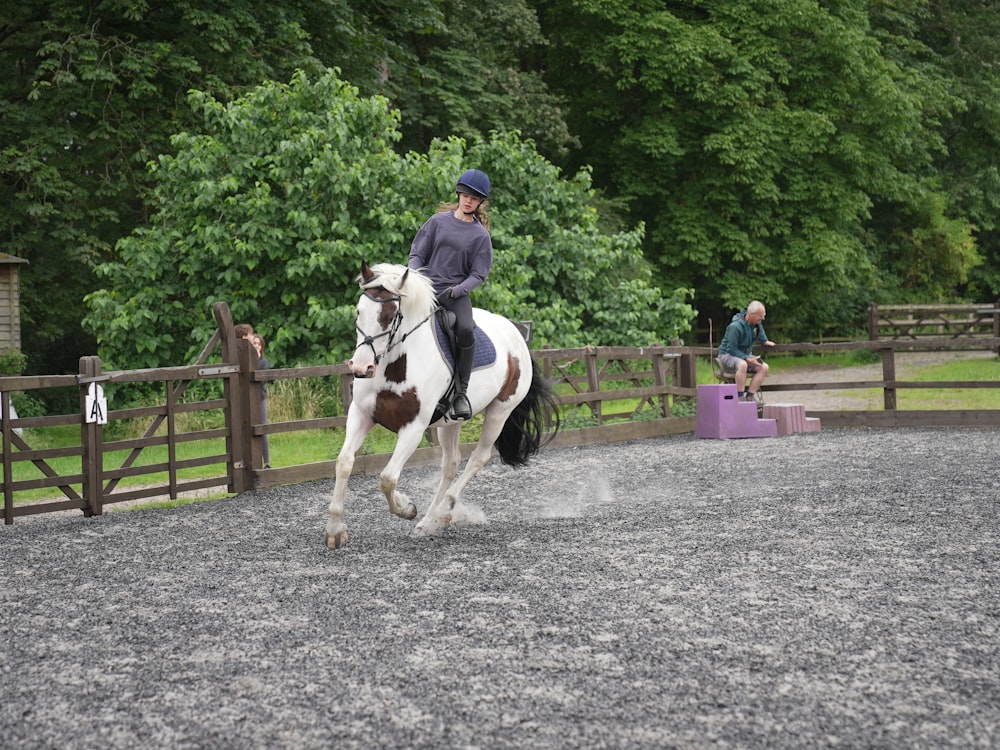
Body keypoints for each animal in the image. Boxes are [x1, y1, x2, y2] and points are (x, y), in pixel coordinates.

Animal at [328, 262, 564, 548]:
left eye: (391, 315)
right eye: (359, 311)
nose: (362, 367)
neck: (397, 365)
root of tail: (516, 335)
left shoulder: (414, 427)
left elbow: (387, 478)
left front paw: (407, 507)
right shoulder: (361, 414)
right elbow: (344, 462)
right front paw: (335, 529)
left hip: (500, 411)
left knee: (478, 458)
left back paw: (440, 513)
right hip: (449, 422)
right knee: (451, 464)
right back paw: (432, 520)